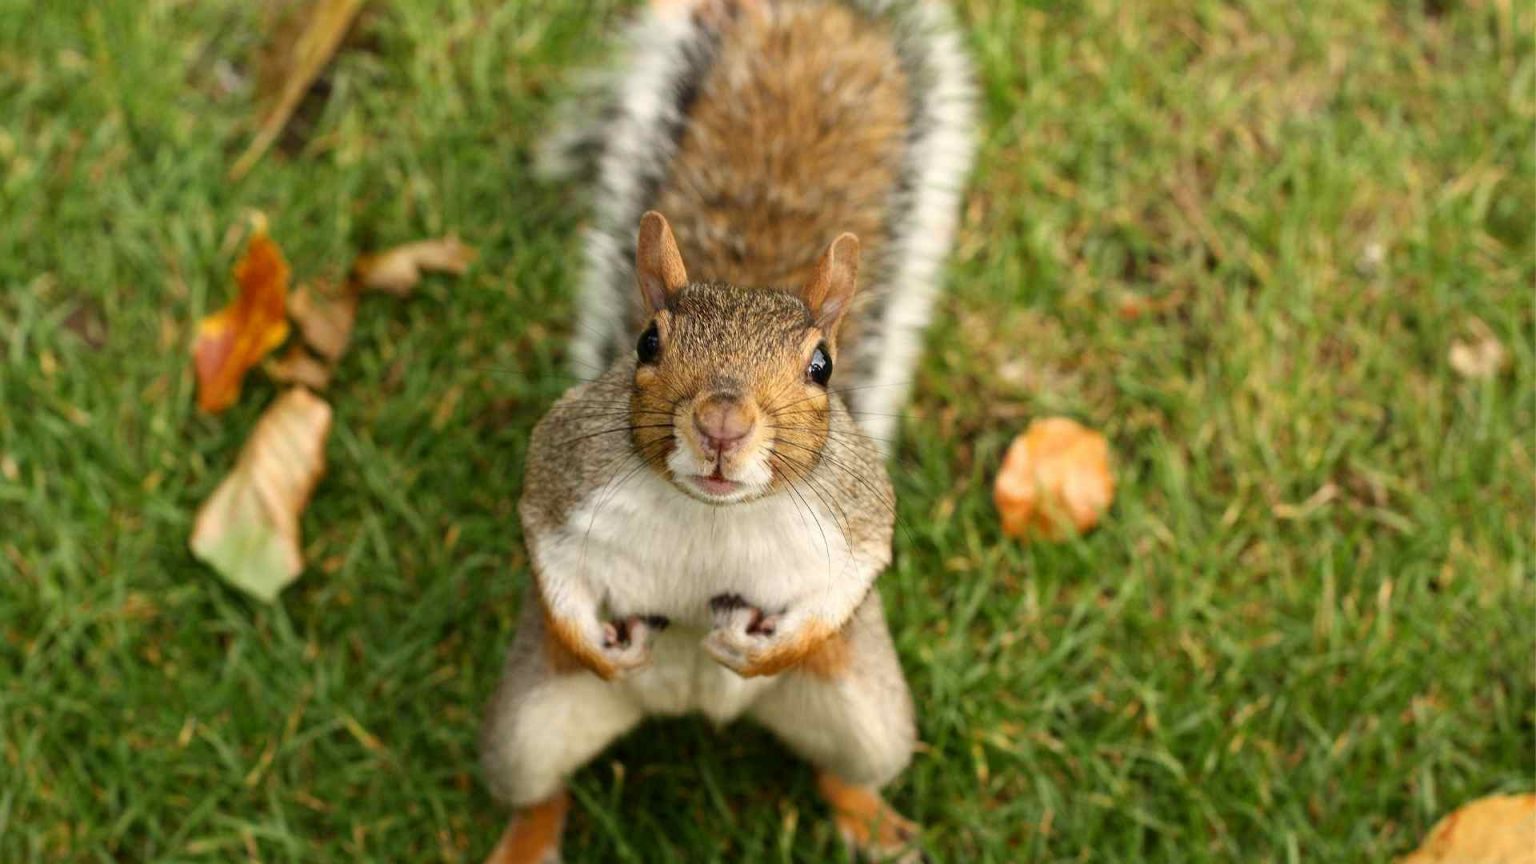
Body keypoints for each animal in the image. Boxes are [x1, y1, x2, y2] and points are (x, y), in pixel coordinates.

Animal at [480, 1, 974, 862]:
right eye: (647, 342)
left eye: (822, 365)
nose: (721, 422)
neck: (711, 513)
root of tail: (688, 705)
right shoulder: (562, 472)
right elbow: (546, 547)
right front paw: (590, 639)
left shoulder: (857, 513)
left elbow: (851, 578)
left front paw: (770, 645)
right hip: (526, 730)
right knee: (539, 790)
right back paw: (525, 840)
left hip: (869, 716)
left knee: (846, 769)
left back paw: (873, 822)